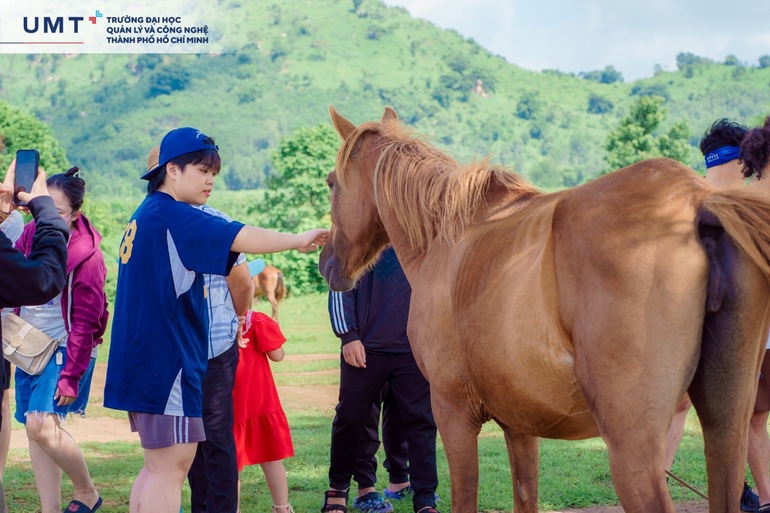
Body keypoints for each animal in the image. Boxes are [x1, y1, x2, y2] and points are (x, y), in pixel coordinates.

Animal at [319, 106, 770, 513]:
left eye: (330, 183)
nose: (325, 261)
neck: (446, 238)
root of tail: (698, 201)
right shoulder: (520, 426)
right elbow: (526, 498)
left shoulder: (452, 414)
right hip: (726, 429)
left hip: (633, 448)